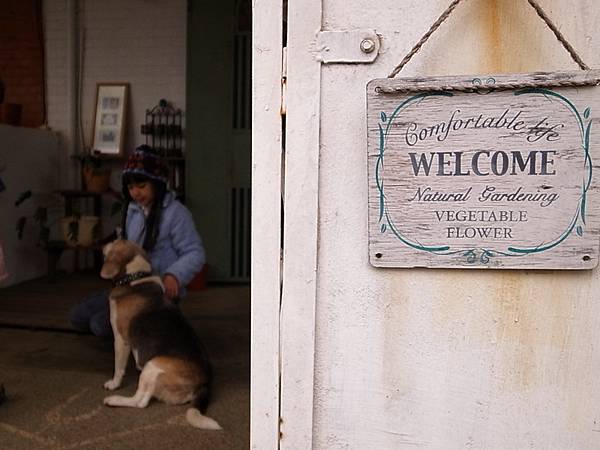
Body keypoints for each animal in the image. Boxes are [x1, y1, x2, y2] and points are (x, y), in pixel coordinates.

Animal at [98, 239, 220, 428]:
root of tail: (204, 383)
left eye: (115, 241)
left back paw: (114, 399)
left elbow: (118, 367)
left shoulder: (120, 339)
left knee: (140, 402)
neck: (136, 277)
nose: (103, 244)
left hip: (153, 366)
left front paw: (114, 384)